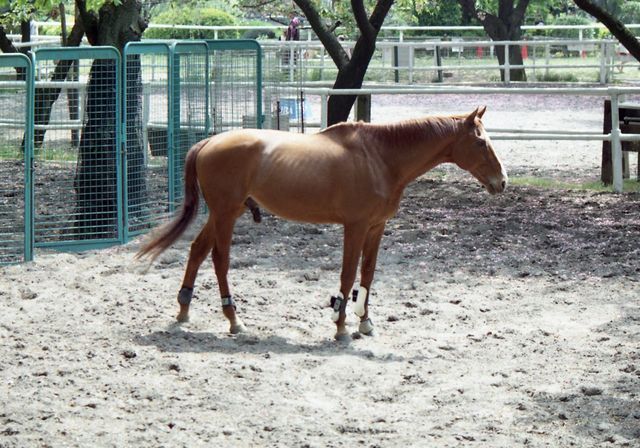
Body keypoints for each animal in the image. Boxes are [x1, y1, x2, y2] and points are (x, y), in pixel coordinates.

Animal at [137, 106, 507, 340]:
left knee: (198, 250)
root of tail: (208, 142)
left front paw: (365, 322)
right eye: (479, 141)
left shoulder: (376, 228)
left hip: (224, 213)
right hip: (225, 213)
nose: (501, 182)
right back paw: (233, 319)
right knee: (219, 259)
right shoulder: (355, 226)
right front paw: (340, 324)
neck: (381, 157)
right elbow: (348, 273)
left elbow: (367, 274)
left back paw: (184, 311)